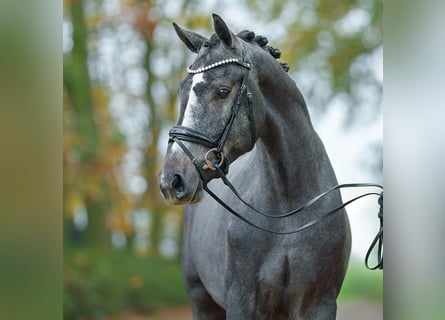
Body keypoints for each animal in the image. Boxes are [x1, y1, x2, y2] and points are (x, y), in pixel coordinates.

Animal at [159, 13, 350, 318]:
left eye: (222, 91)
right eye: (182, 91)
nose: (171, 180)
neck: (288, 217)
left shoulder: (319, 304)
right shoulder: (242, 301)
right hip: (202, 301)